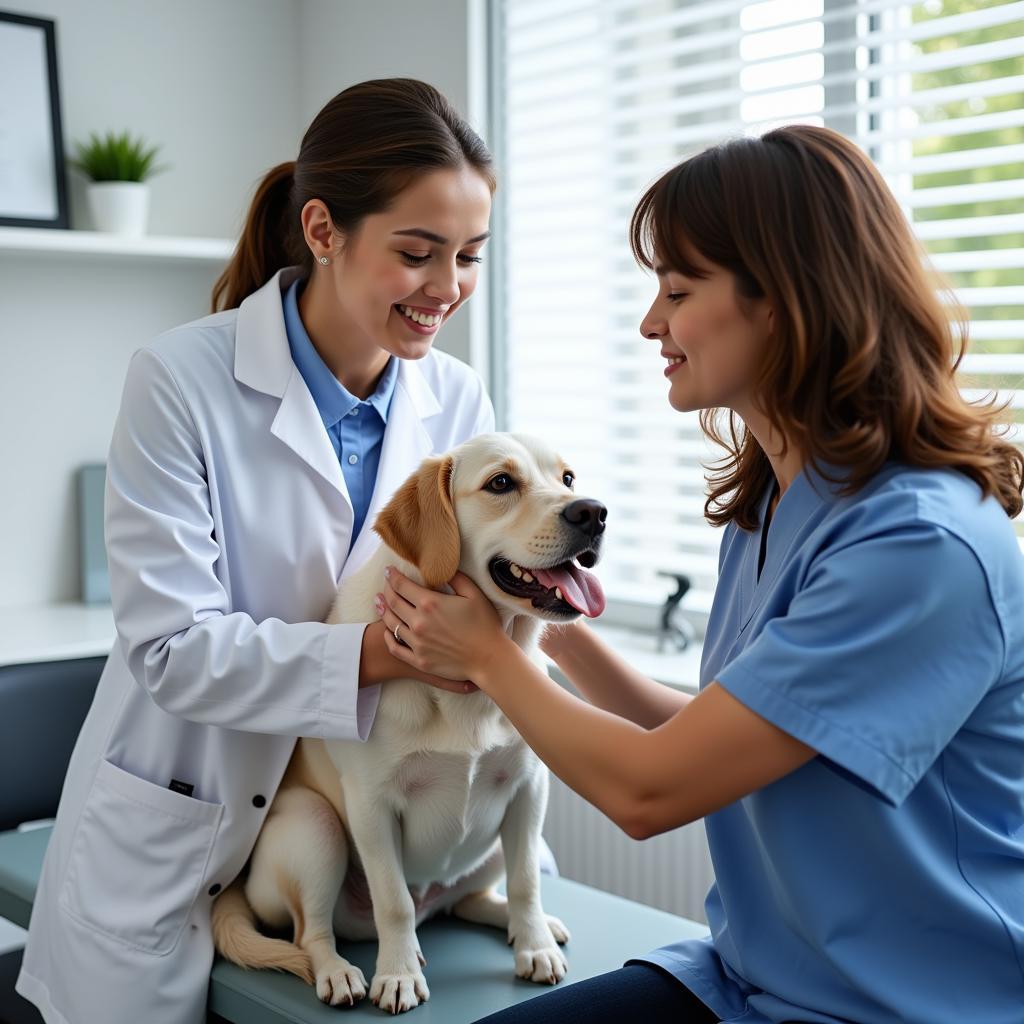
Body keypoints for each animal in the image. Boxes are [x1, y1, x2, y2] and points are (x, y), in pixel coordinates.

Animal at [210, 434, 602, 1015]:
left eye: (568, 478)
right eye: (501, 483)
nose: (594, 513)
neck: (472, 682)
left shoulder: (529, 789)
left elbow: (527, 880)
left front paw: (533, 945)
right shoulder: (371, 806)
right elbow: (393, 902)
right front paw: (396, 975)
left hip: (489, 849)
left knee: (470, 898)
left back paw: (516, 922)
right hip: (315, 827)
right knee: (312, 933)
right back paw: (340, 972)